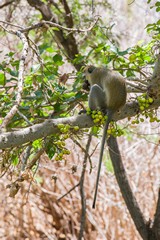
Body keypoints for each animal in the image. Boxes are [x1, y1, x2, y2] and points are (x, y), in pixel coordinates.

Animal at [84, 65, 127, 208]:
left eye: (84, 73)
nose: (84, 79)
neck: (97, 68)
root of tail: (113, 107)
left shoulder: (94, 77)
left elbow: (93, 85)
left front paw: (87, 86)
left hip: (103, 100)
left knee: (95, 88)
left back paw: (90, 111)